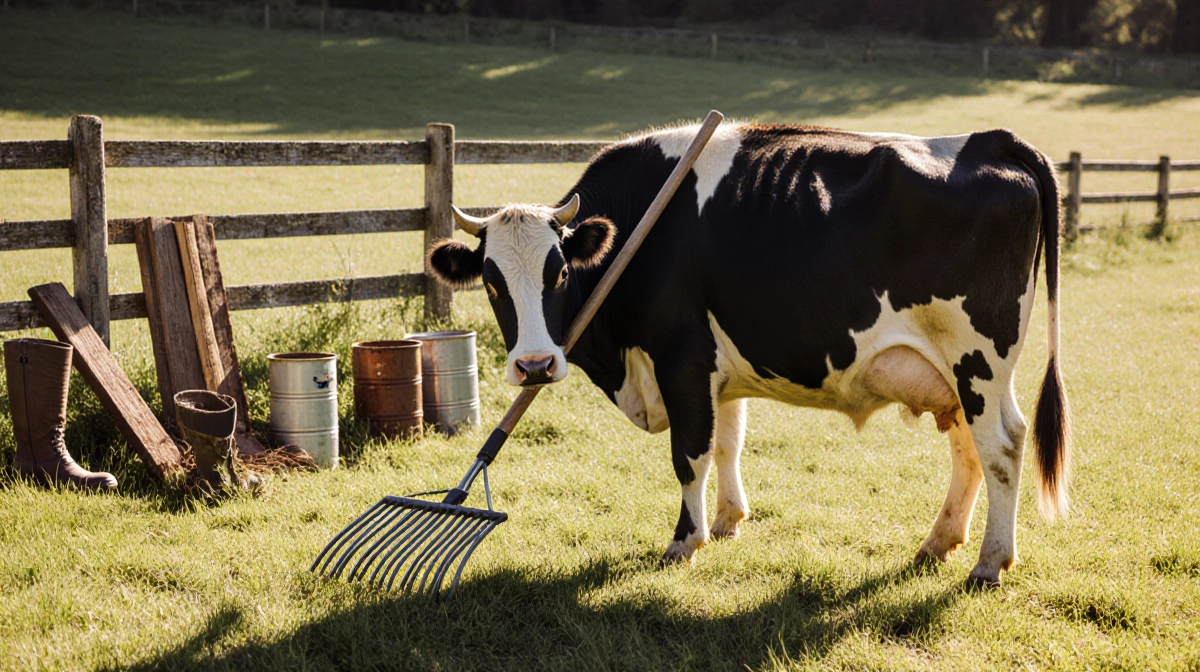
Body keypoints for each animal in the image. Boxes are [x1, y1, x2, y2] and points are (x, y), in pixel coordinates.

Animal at [427, 122, 1071, 587]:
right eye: (491, 283)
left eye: (558, 273)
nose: (534, 366)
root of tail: (989, 140)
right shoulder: (717, 369)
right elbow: (727, 441)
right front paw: (728, 521)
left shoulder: (681, 358)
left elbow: (689, 454)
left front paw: (685, 542)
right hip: (951, 372)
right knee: (970, 448)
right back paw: (939, 543)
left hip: (978, 359)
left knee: (1002, 446)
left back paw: (989, 563)